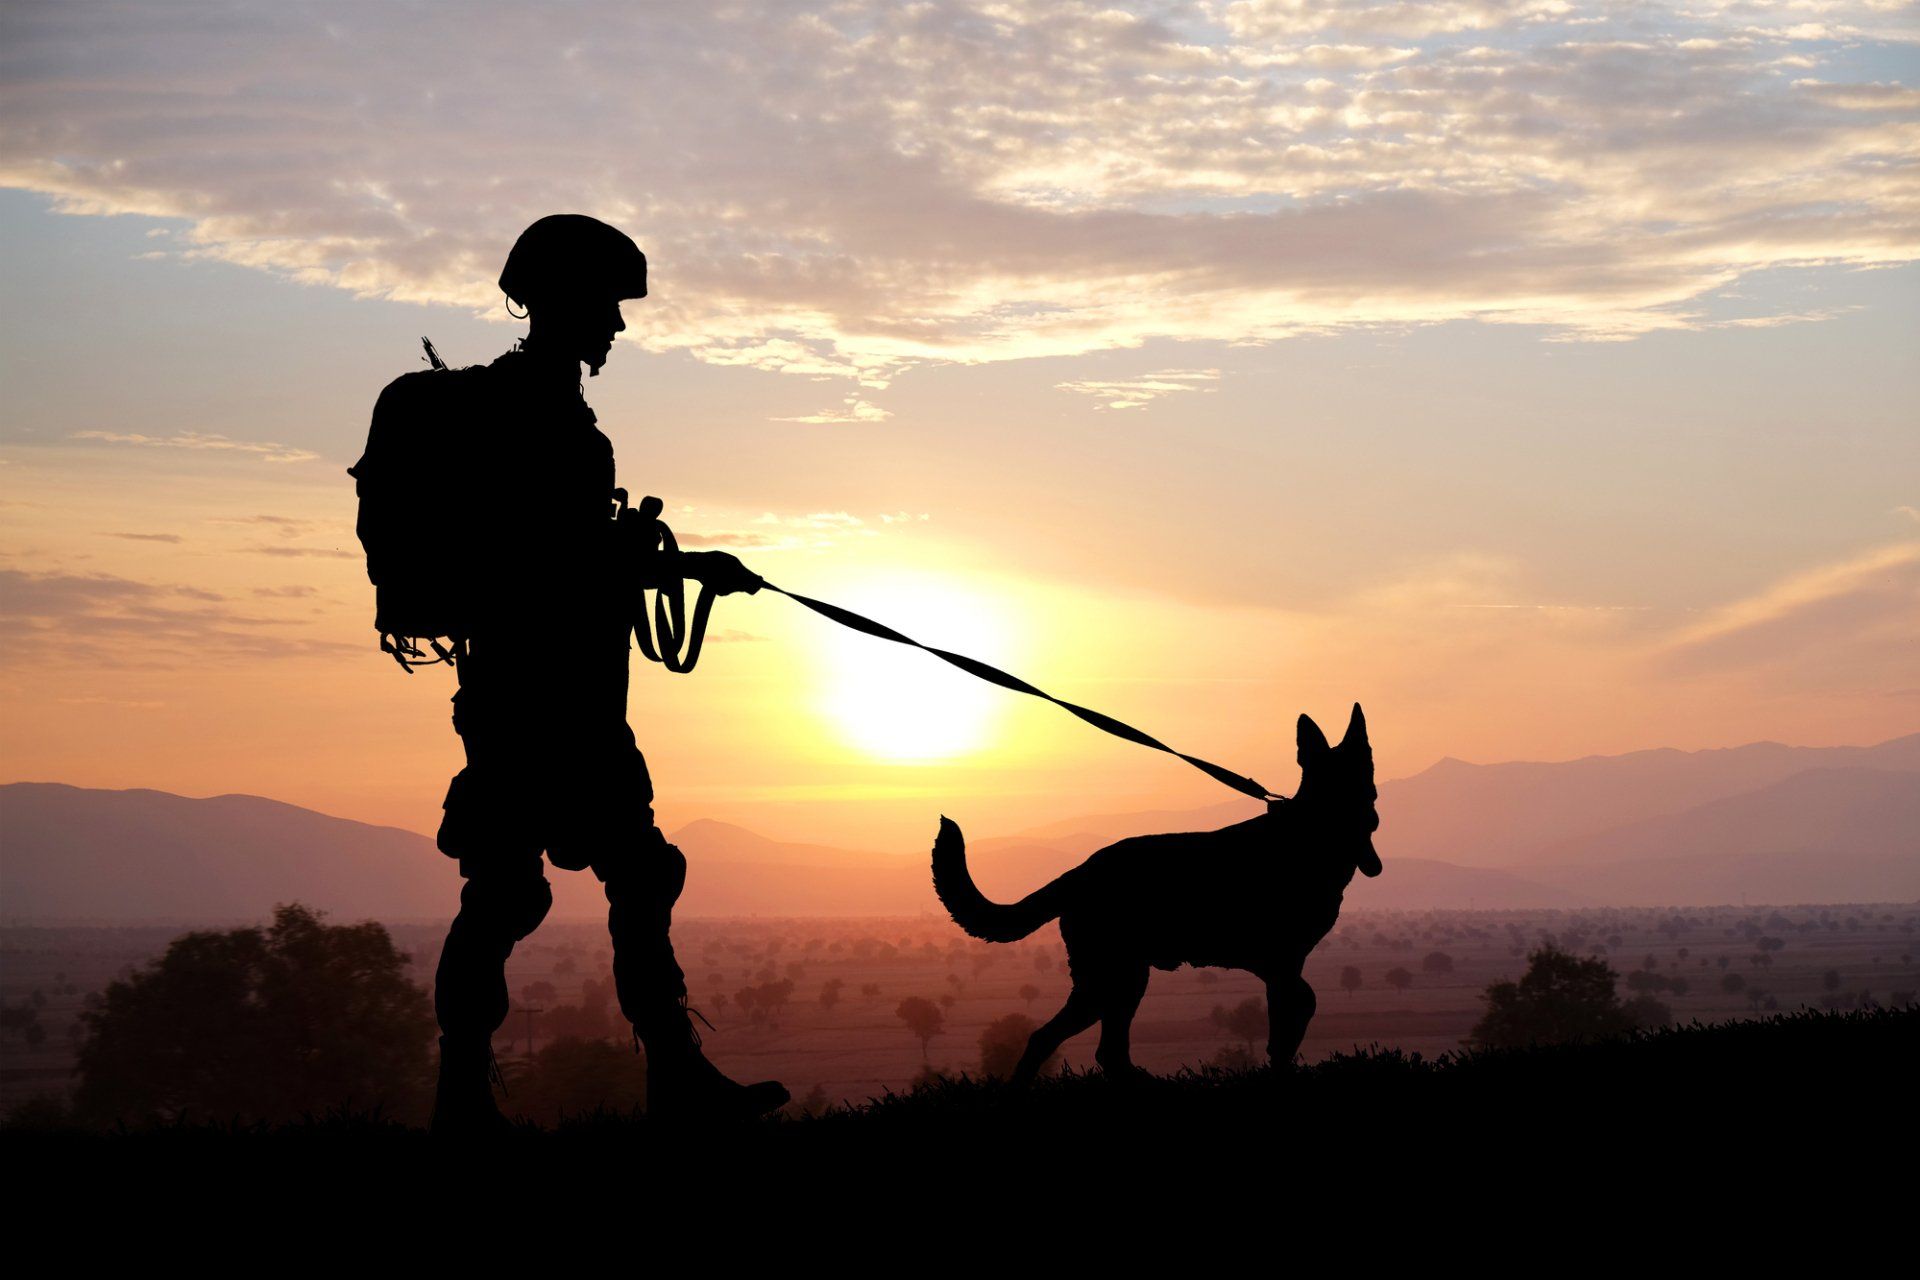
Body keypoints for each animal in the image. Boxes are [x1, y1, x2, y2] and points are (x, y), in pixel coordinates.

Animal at [933, 706, 1374, 1074]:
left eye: (1365, 776)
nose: (1370, 818)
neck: (1310, 832)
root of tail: (1080, 872)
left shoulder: (1284, 966)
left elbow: (1299, 1006)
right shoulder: (1281, 964)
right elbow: (1291, 1016)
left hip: (1121, 982)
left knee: (1094, 1048)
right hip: (1111, 979)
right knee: (1060, 1040)